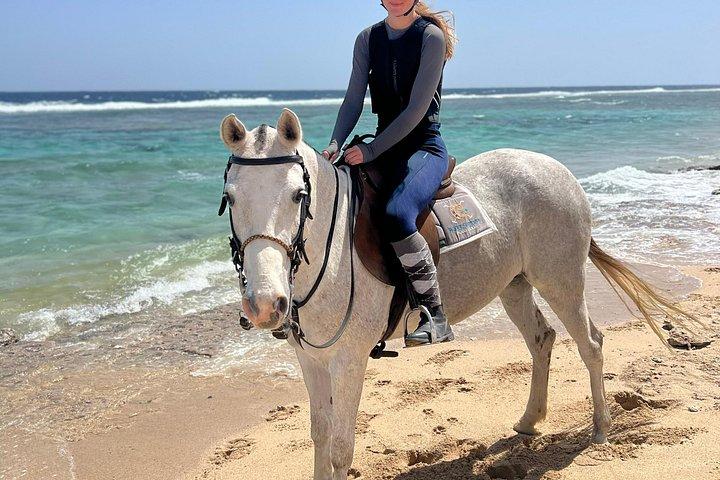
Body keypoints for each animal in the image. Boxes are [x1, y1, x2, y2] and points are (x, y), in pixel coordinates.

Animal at [218, 108, 694, 480]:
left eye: (298, 195)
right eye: (230, 197)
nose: (264, 305)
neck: (332, 251)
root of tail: (561, 172)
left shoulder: (349, 359)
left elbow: (340, 447)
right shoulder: (312, 359)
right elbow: (319, 436)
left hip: (561, 281)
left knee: (591, 344)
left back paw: (599, 430)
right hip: (514, 286)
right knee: (543, 340)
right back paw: (529, 421)